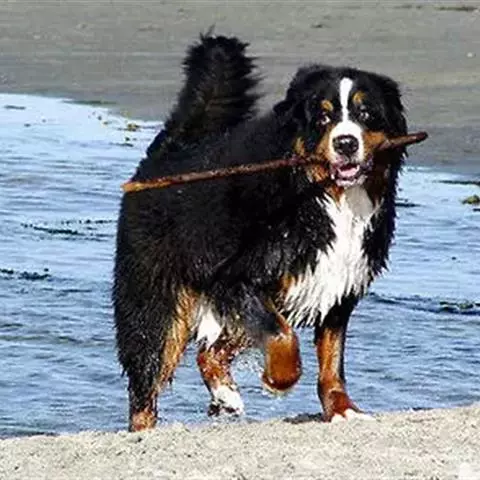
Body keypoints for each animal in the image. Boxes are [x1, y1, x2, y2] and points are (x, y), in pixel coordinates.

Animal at [114, 33, 414, 431]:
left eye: (366, 113)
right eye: (323, 116)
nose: (346, 143)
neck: (325, 197)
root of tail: (171, 150)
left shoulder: (338, 286)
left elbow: (331, 360)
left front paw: (341, 408)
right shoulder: (236, 277)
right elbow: (282, 336)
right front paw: (278, 379)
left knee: (210, 351)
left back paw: (225, 394)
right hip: (157, 309)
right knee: (146, 384)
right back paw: (145, 430)